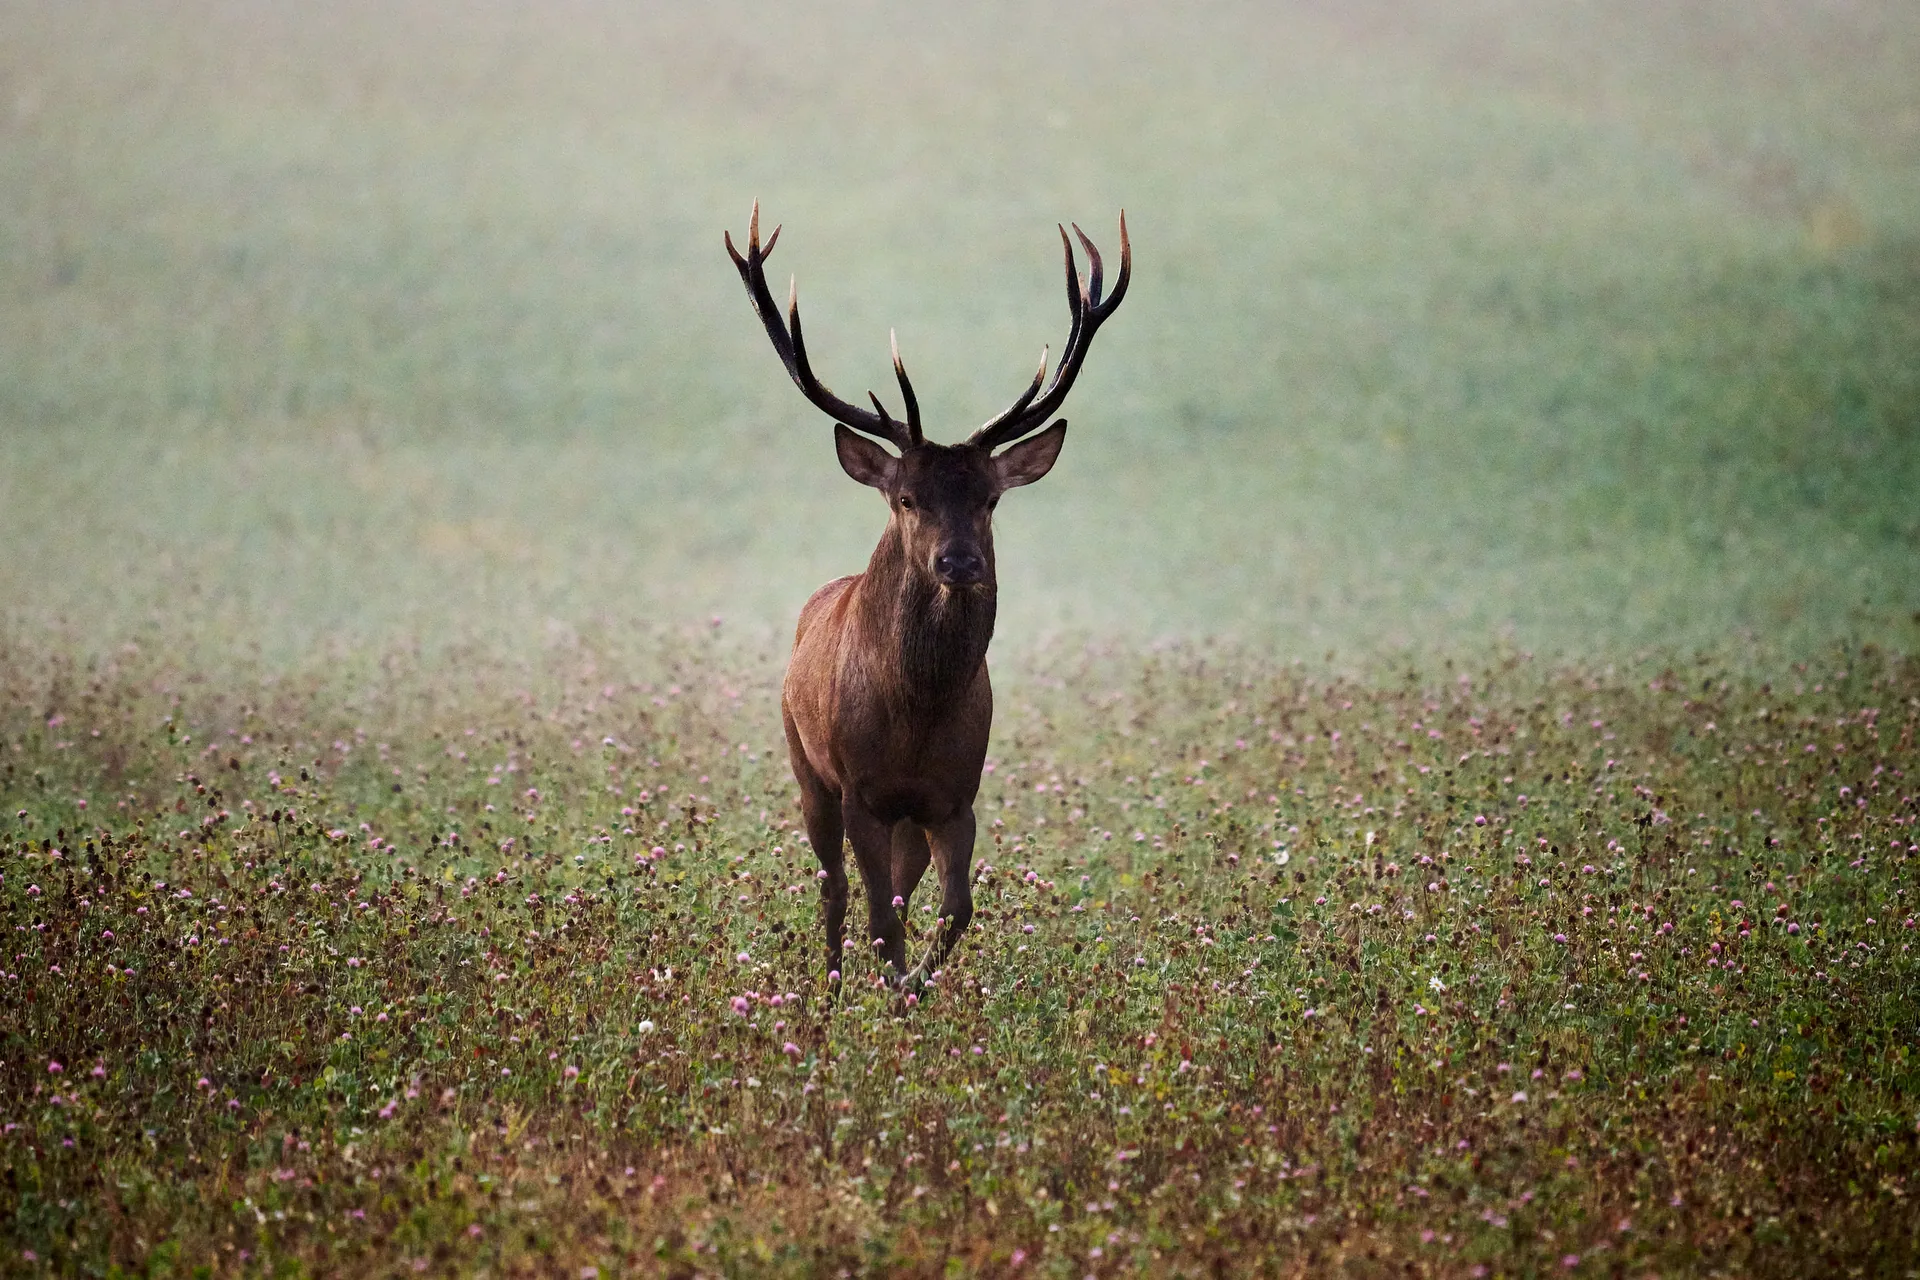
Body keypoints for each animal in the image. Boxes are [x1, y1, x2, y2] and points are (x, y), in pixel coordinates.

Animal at [725, 202, 1130, 994]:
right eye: (907, 498)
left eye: (991, 499)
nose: (960, 560)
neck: (917, 711)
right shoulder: (860, 791)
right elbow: (879, 918)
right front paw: (885, 988)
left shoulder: (954, 797)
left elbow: (953, 912)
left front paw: (913, 989)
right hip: (804, 763)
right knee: (833, 888)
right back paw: (829, 988)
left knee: (899, 893)